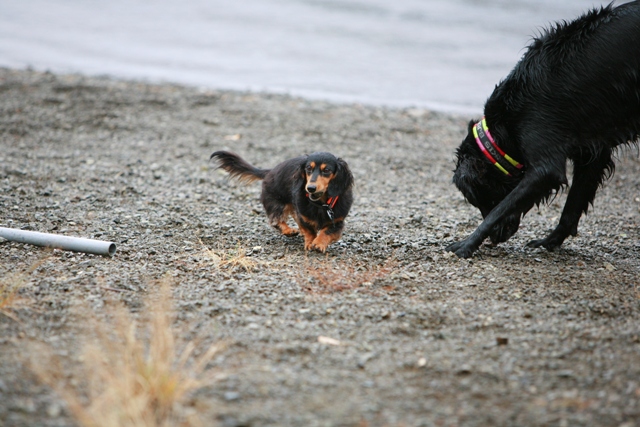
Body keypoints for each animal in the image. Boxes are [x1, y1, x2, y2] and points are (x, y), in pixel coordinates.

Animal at [448, 1, 640, 260]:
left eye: (477, 197)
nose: (496, 239)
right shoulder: (592, 153)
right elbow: (572, 206)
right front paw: (550, 241)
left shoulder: (545, 164)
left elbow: (500, 208)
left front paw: (467, 243)